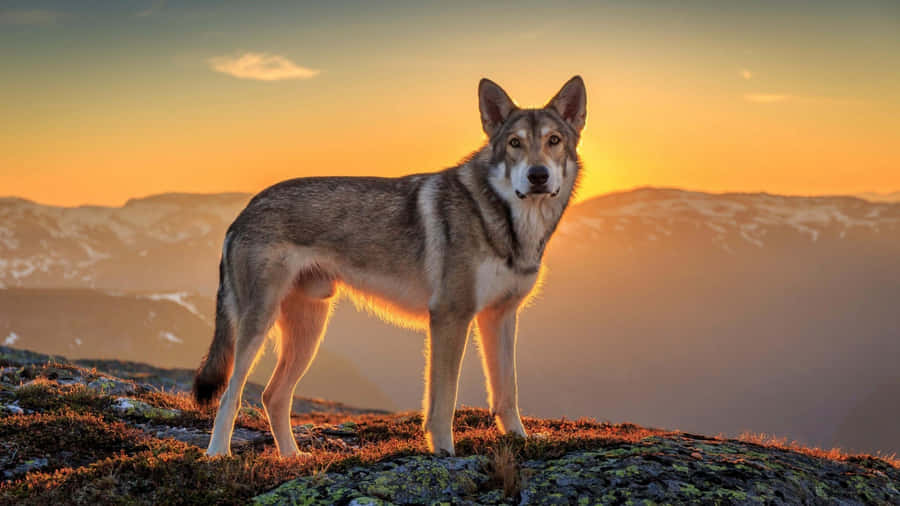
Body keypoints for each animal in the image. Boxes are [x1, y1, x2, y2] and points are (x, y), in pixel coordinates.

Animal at [193, 76, 587, 457]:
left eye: (553, 141)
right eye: (515, 143)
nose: (538, 175)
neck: (505, 219)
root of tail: (243, 211)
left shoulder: (500, 316)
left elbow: (507, 393)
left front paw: (520, 440)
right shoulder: (449, 316)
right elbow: (443, 401)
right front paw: (444, 452)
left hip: (309, 331)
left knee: (272, 396)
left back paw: (293, 457)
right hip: (259, 325)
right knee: (231, 395)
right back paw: (218, 456)